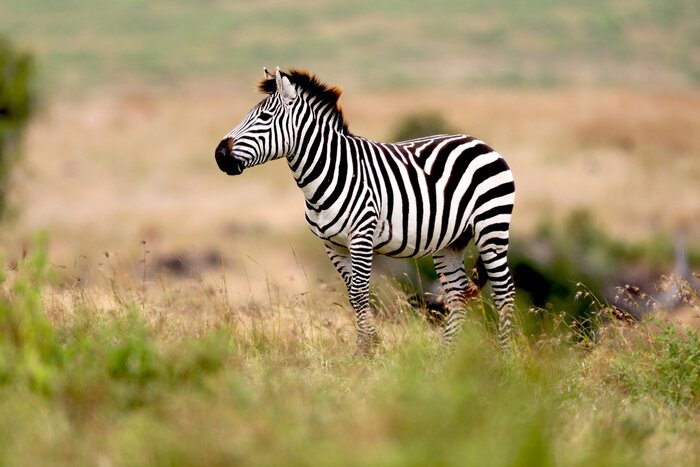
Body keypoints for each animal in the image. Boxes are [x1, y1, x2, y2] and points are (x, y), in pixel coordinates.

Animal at [215, 67, 516, 353]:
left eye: (265, 118)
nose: (219, 155)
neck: (328, 174)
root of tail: (480, 143)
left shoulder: (361, 236)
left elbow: (360, 293)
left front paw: (364, 350)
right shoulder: (332, 244)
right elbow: (352, 294)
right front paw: (370, 345)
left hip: (491, 227)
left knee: (505, 292)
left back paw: (505, 357)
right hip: (450, 241)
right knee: (457, 295)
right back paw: (443, 358)